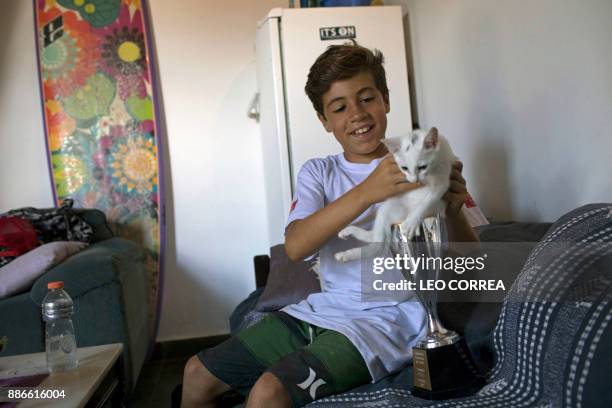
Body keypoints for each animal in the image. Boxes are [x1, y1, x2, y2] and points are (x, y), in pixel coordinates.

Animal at [334, 126, 454, 262]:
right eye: (404, 168)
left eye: (422, 167)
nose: (414, 180)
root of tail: (406, 212)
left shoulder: (442, 182)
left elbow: (427, 201)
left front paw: (412, 221)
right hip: (388, 207)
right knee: (377, 241)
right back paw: (348, 243)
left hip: (433, 211)